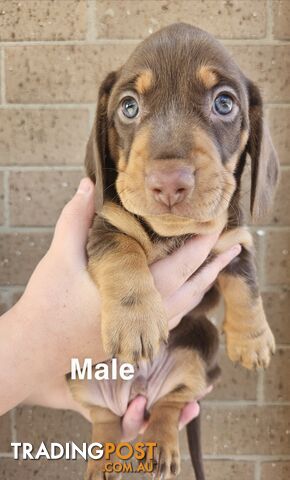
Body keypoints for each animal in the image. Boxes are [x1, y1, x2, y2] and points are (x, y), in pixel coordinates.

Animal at [69, 23, 280, 480]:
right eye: (129, 107)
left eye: (224, 103)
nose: (169, 182)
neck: (172, 234)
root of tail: (138, 391)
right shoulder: (105, 226)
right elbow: (124, 253)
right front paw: (136, 323)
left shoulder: (233, 241)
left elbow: (246, 282)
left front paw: (252, 340)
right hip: (79, 376)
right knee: (103, 418)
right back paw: (104, 456)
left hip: (200, 347)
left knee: (171, 404)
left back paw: (160, 446)